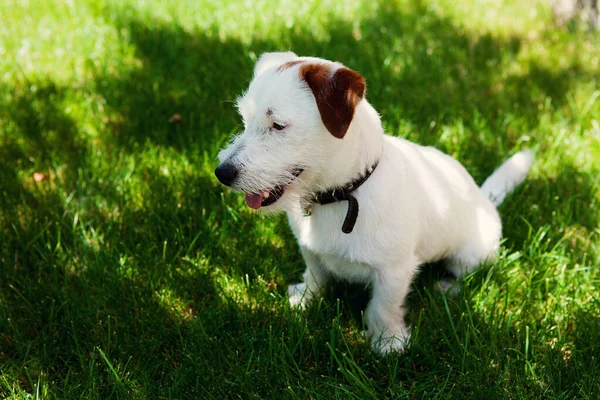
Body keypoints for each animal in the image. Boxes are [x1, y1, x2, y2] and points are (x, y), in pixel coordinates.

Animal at [216, 50, 536, 354]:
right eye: (245, 119)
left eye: (278, 125)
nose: (222, 173)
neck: (342, 196)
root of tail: (484, 198)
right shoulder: (310, 248)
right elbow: (316, 274)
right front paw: (306, 298)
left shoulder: (394, 271)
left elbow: (383, 306)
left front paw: (388, 342)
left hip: (473, 255)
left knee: (466, 273)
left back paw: (448, 287)